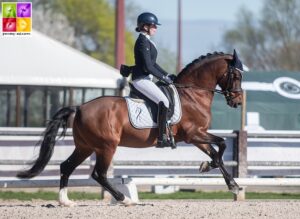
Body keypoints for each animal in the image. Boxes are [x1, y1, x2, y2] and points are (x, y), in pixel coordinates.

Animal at [17, 50, 244, 206]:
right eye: (236, 76)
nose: (238, 102)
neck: (192, 95)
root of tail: (80, 107)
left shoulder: (197, 137)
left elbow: (217, 154)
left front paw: (231, 184)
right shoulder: (194, 134)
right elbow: (222, 145)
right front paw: (213, 170)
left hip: (85, 147)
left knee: (67, 167)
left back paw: (65, 201)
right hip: (106, 147)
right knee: (99, 174)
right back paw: (124, 199)